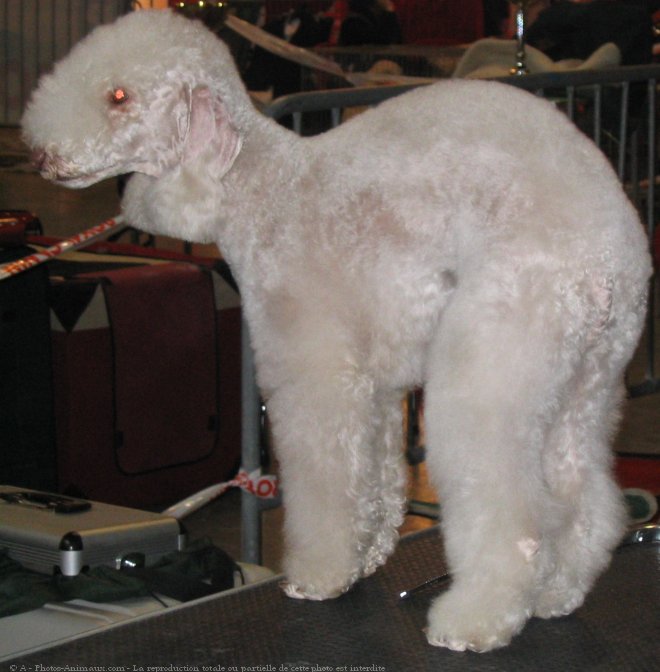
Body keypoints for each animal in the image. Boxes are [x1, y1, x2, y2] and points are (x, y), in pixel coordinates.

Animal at [23, 9, 652, 652]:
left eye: (118, 96)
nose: (40, 157)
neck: (258, 188)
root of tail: (607, 258)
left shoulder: (317, 377)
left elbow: (325, 487)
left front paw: (319, 575)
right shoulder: (373, 386)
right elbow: (374, 477)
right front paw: (367, 555)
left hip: (492, 365)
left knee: (514, 516)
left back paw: (474, 620)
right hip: (584, 386)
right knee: (586, 499)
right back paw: (557, 594)